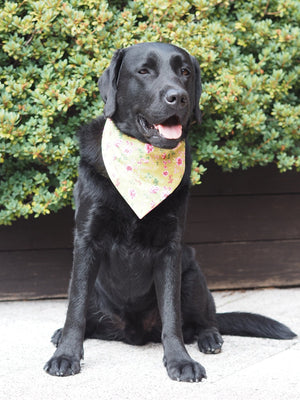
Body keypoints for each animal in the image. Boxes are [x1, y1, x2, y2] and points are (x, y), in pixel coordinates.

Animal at [44, 42, 296, 382]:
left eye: (185, 71)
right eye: (144, 71)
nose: (179, 97)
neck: (144, 161)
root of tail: (133, 334)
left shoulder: (170, 249)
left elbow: (171, 315)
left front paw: (180, 360)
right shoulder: (87, 240)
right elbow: (76, 308)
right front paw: (66, 355)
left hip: (192, 273)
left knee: (205, 319)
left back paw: (210, 337)